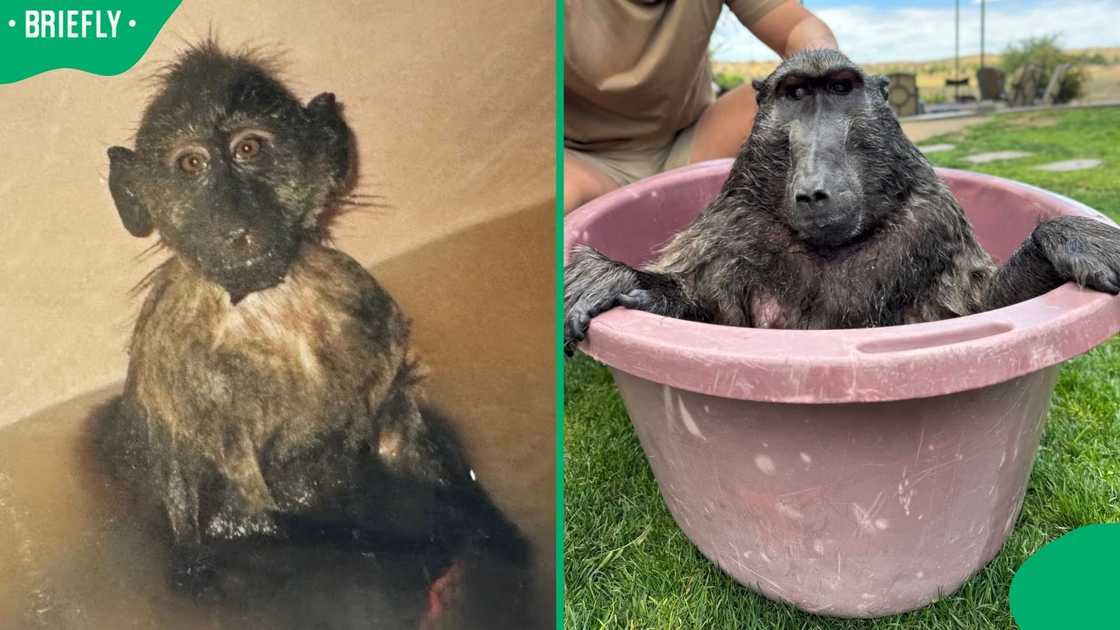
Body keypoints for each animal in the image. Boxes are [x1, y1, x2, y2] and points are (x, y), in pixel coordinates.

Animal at [94, 41, 529, 613]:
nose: (235, 223)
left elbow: (400, 442)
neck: (265, 306)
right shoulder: (174, 350)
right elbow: (233, 505)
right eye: (191, 164)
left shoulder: (366, 302)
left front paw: (488, 530)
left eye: (249, 149)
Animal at [564, 49, 1120, 351]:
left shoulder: (931, 223)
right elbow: (716, 314)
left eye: (839, 89)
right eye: (794, 96)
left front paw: (1069, 237)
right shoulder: (734, 227)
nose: (815, 189)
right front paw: (617, 278)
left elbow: (975, 310)